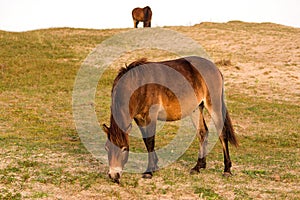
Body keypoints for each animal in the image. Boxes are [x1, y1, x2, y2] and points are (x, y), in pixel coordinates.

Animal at [102, 55, 238, 183]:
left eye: (124, 149)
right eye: (107, 148)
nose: (114, 175)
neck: (139, 86)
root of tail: (215, 68)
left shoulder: (151, 117)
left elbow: (150, 141)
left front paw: (149, 171)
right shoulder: (139, 118)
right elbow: (146, 141)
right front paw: (155, 165)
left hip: (213, 106)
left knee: (222, 134)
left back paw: (226, 170)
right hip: (196, 109)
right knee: (202, 132)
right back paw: (198, 166)